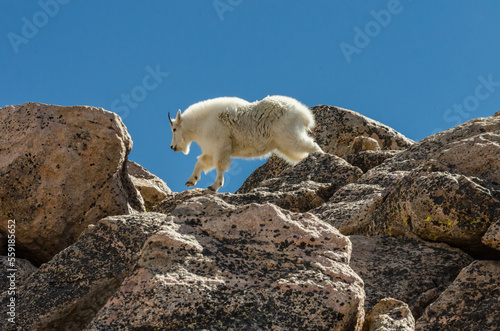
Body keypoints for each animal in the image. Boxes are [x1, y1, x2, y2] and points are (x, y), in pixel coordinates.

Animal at [170, 95, 322, 192]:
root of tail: (303, 114)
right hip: (285, 145)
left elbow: (220, 165)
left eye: (174, 129)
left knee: (313, 146)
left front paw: (214, 186)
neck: (202, 123)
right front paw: (191, 181)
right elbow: (201, 162)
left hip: (291, 137)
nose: (172, 147)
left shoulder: (221, 145)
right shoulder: (212, 150)